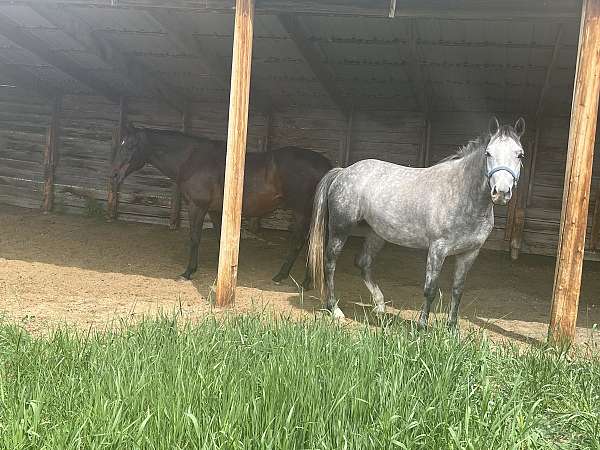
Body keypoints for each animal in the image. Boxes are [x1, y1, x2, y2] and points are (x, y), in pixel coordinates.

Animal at [110, 124, 330, 284]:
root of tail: (326, 167)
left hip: (302, 212)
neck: (192, 160)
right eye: (120, 144)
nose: (114, 175)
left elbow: (195, 238)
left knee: (302, 244)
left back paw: (287, 277)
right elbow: (220, 239)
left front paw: (188, 272)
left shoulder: (197, 207)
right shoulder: (216, 211)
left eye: (130, 146)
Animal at [310, 116, 524, 326]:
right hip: (340, 229)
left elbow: (458, 290)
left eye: (520, 155)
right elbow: (430, 289)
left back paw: (380, 306)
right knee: (330, 264)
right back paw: (335, 309)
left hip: (377, 233)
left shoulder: (470, 253)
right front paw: (421, 326)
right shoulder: (437, 249)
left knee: (363, 263)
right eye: (488, 153)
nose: (501, 192)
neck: (461, 193)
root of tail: (343, 171)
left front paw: (452, 329)